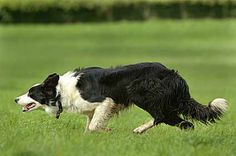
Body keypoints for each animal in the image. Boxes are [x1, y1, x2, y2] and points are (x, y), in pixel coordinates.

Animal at [14, 62, 227, 133]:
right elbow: (89, 127)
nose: (15, 99)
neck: (60, 91)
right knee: (183, 123)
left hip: (139, 92)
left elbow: (93, 126)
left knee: (165, 118)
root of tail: (174, 75)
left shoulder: (105, 101)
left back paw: (139, 129)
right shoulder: (93, 110)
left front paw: (108, 131)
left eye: (31, 93)